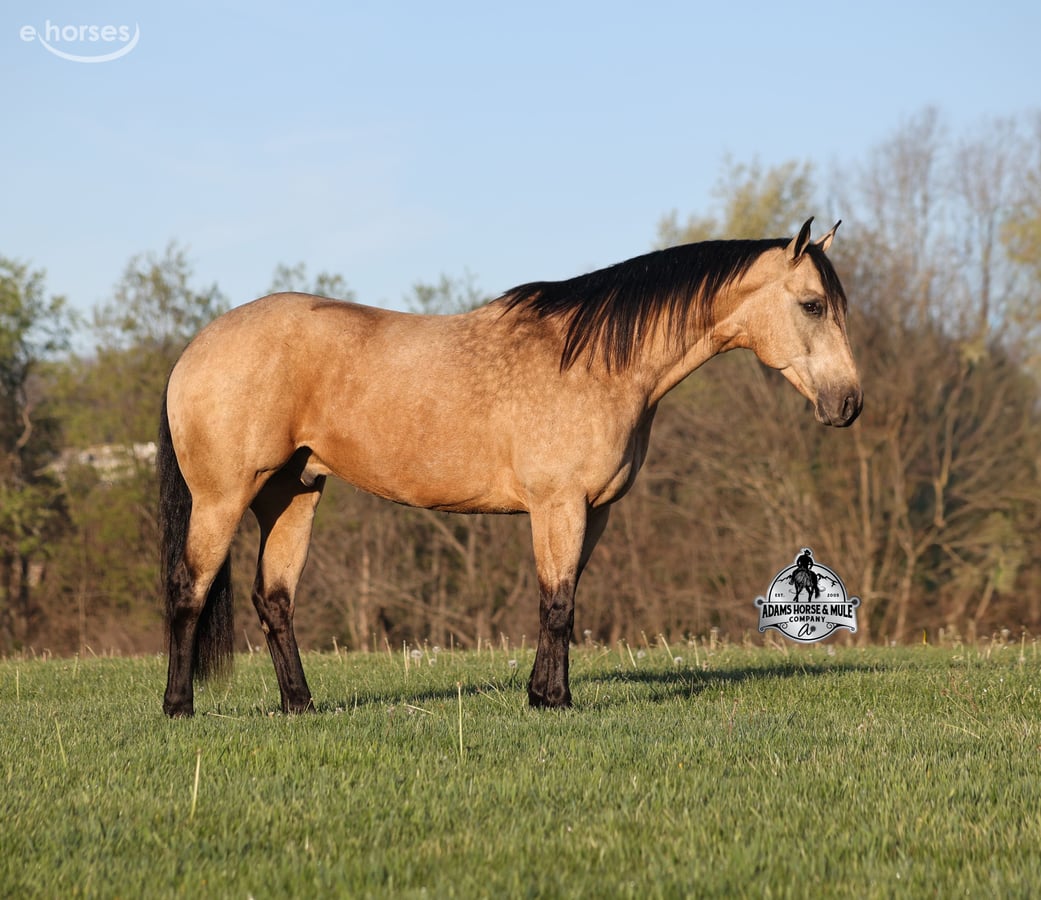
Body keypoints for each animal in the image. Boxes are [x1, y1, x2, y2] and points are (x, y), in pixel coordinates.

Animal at [158, 217, 862, 717]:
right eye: (811, 305)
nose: (848, 403)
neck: (597, 363)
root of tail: (195, 348)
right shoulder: (558, 505)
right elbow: (557, 603)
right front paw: (554, 701)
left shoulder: (593, 513)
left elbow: (565, 600)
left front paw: (541, 693)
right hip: (222, 497)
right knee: (189, 589)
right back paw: (179, 708)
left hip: (293, 493)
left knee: (274, 599)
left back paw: (300, 706)